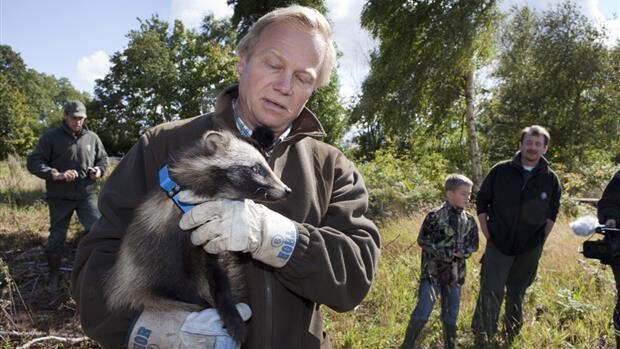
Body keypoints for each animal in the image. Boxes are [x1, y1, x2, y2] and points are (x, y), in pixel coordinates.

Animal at [104, 130, 290, 342]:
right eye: (256, 168)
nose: (287, 190)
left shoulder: (211, 239)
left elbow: (218, 275)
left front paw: (229, 309)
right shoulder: (161, 248)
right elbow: (178, 281)